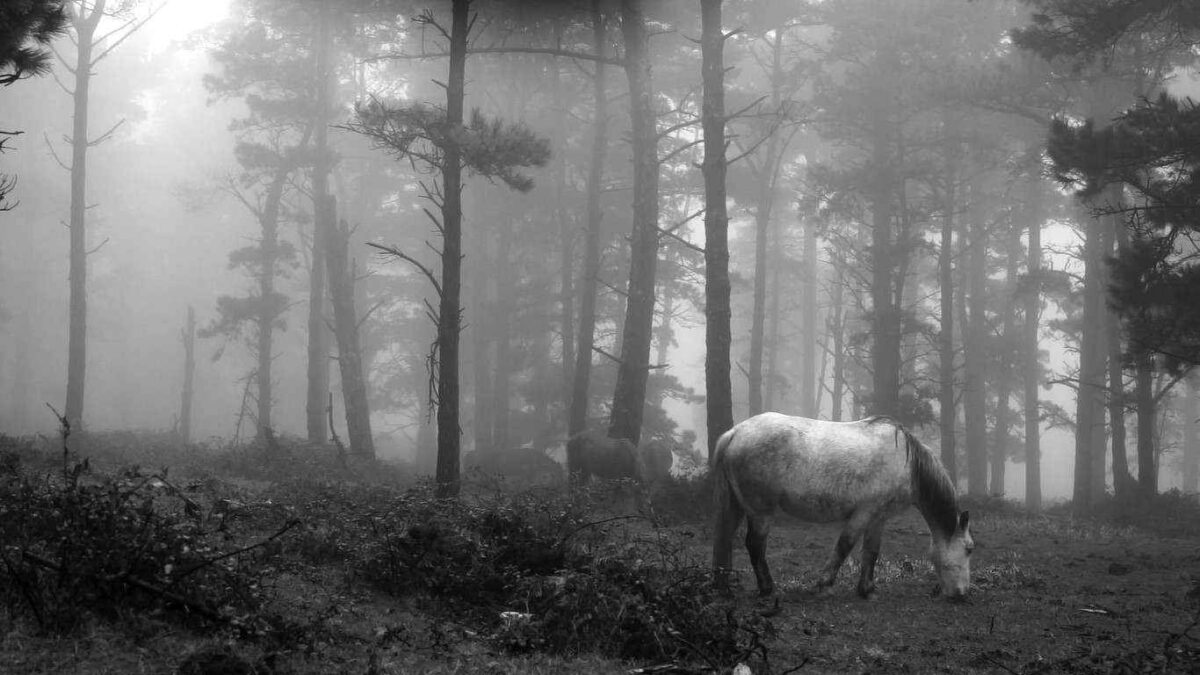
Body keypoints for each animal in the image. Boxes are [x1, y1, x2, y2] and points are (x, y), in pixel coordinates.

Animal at [711, 413, 973, 602]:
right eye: (969, 549)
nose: (961, 593)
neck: (907, 464)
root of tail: (735, 433)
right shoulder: (864, 513)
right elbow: (844, 546)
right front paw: (824, 584)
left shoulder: (879, 517)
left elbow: (871, 551)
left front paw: (867, 589)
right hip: (760, 512)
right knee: (755, 545)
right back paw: (767, 588)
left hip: (737, 507)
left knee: (725, 539)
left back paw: (723, 587)